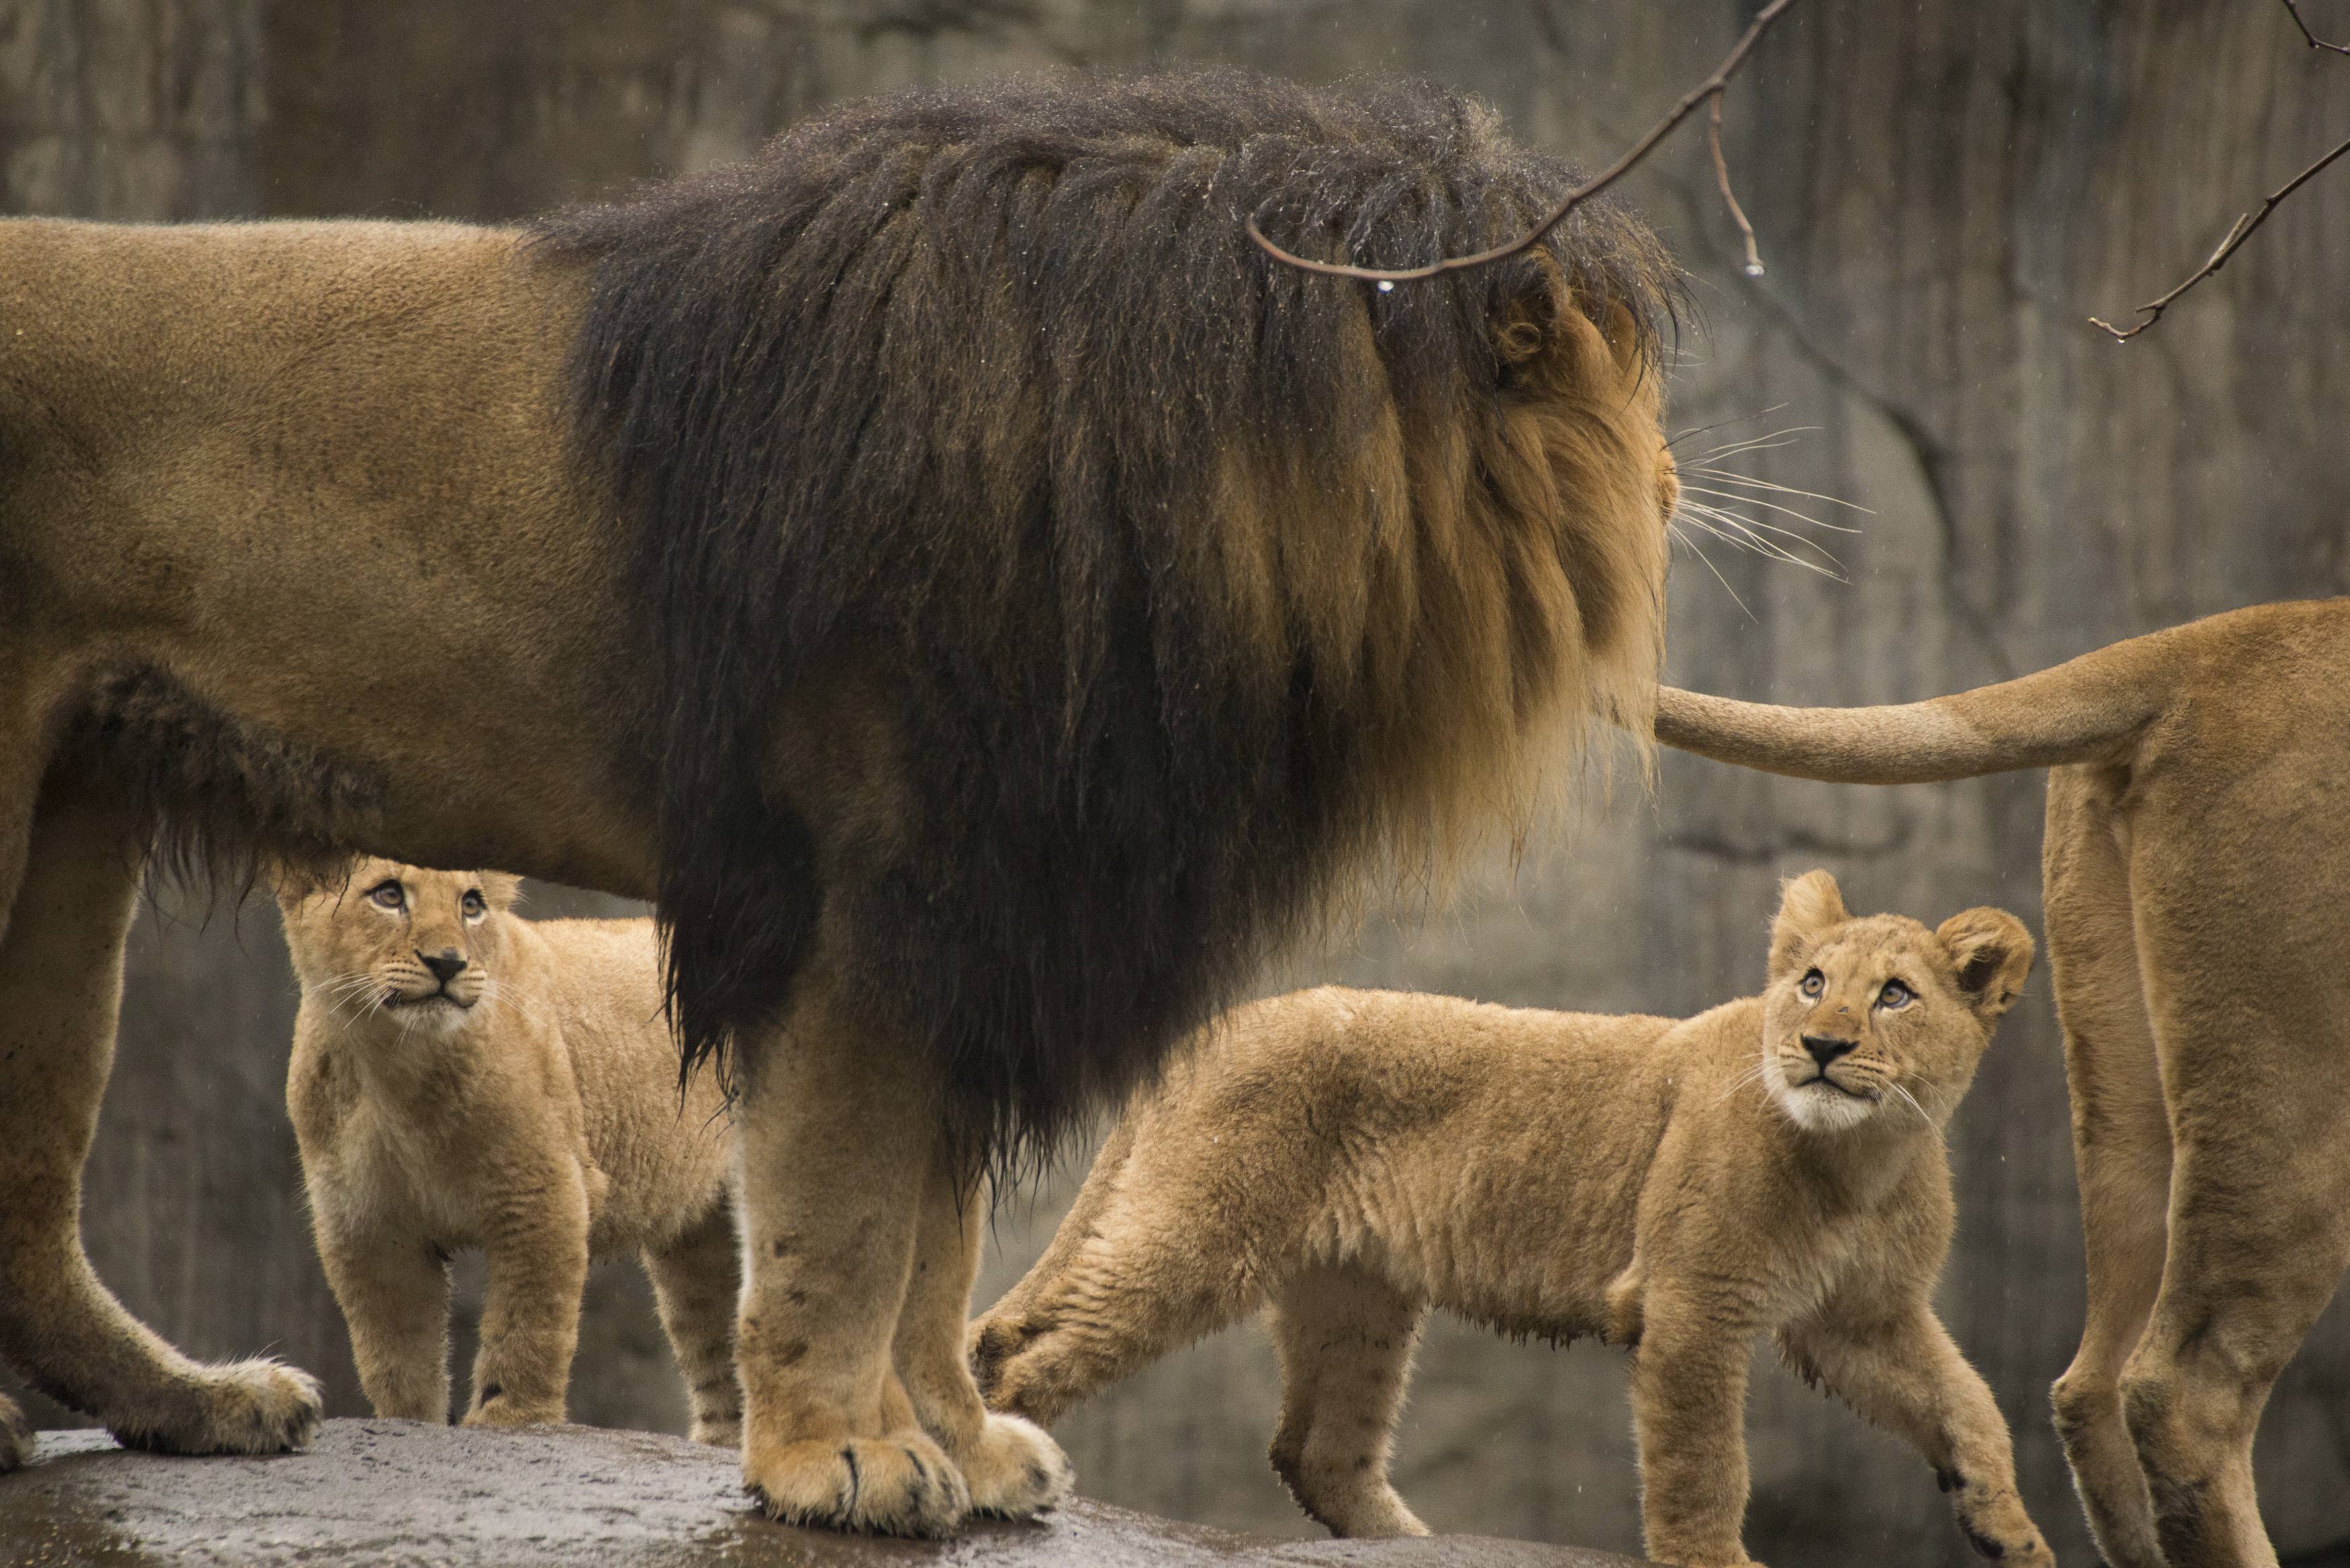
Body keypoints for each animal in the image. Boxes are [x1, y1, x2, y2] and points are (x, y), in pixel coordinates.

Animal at [281, 860, 747, 1448]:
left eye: (471, 904)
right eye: (388, 895)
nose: (447, 963)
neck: (397, 1068)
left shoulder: (544, 1192)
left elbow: (528, 1323)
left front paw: (512, 1417)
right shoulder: (365, 1223)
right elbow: (394, 1350)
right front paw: (409, 1420)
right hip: (700, 1240)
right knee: (717, 1337)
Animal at [963, 879, 2049, 1561]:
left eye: (1896, 996)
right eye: (1812, 983)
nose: (1821, 1045)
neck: (1862, 1158)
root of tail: (1217, 1022)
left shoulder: (1861, 1320)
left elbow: (1969, 1401)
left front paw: (2010, 1529)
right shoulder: (1692, 1308)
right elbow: (1703, 1463)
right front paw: (1716, 1560)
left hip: (1357, 1294)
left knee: (1317, 1450)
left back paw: (1420, 1545)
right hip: (1200, 1232)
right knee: (1028, 1350)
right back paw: (1009, 1476)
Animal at [1654, 592, 2350, 1568]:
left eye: (1894, 995)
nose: (1824, 1039)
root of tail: (2213, 638)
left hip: (2122, 1077)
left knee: (2092, 1382)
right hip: (2291, 1054)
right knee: (2179, 1387)